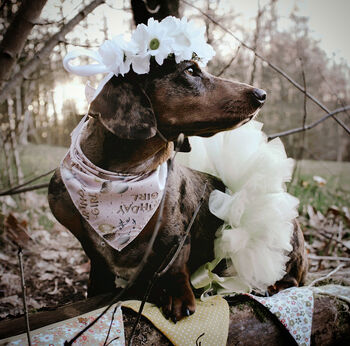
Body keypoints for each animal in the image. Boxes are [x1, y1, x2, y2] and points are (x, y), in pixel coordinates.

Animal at [48, 58, 306, 322]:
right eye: (191, 70)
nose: (262, 94)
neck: (122, 177)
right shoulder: (93, 251)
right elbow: (99, 273)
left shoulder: (175, 236)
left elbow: (173, 267)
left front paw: (177, 298)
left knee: (292, 279)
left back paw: (270, 285)